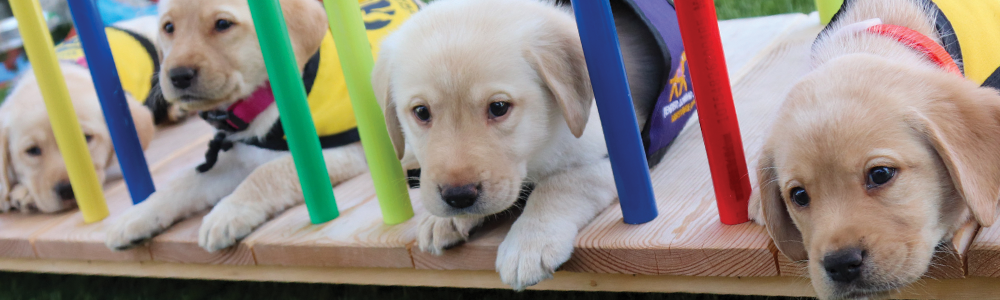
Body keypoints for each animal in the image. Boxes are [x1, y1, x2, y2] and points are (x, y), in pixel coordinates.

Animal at [105, 0, 422, 253]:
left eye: (223, 24)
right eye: (169, 27)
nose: (178, 75)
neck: (258, 103)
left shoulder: (339, 151)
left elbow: (265, 174)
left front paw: (226, 214)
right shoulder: (236, 157)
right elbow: (181, 181)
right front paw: (138, 214)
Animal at [376, 0, 664, 290]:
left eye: (499, 107)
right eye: (421, 112)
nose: (458, 197)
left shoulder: (619, 154)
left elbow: (560, 185)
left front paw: (529, 244)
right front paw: (440, 219)